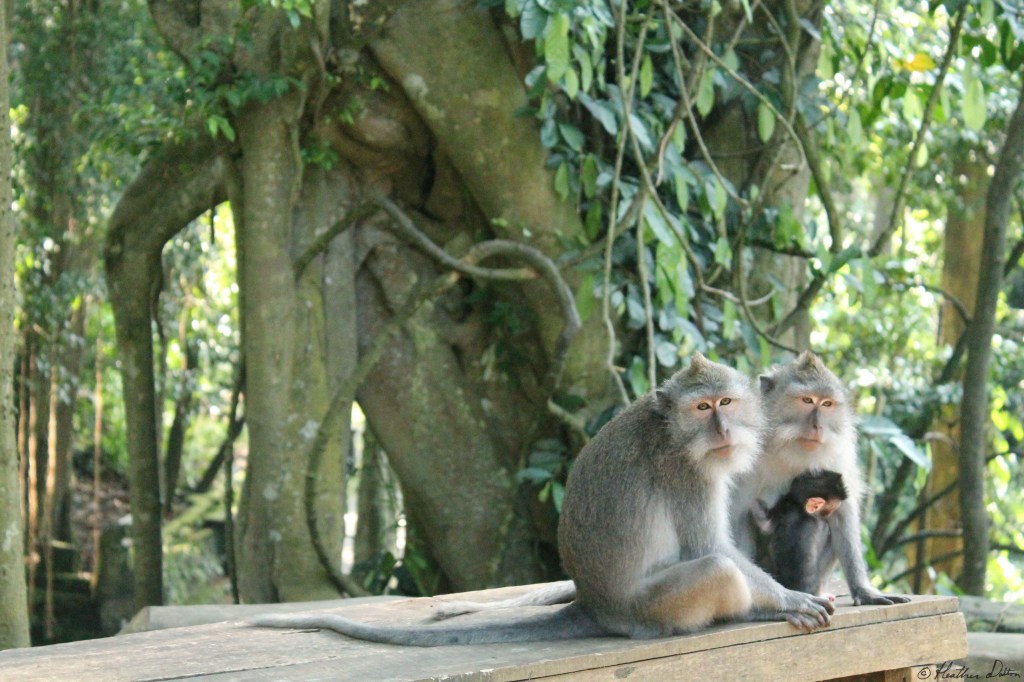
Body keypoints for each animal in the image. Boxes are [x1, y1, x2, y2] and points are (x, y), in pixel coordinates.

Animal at [252, 353, 834, 645]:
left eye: (727, 403)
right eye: (702, 408)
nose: (722, 430)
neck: (671, 430)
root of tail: (597, 605)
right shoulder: (687, 475)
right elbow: (709, 548)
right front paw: (788, 598)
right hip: (652, 609)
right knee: (716, 568)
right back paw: (744, 615)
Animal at [729, 351, 911, 606]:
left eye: (826, 404)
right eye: (807, 400)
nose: (817, 426)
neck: (790, 449)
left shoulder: (839, 458)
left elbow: (843, 516)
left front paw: (865, 591)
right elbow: (736, 516)